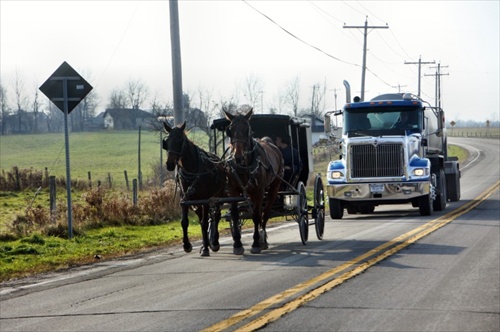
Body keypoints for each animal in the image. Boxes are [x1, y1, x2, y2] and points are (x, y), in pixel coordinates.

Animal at [163, 122, 226, 256]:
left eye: (180, 140)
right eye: (167, 141)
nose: (169, 164)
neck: (192, 170)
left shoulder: (205, 200)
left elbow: (204, 223)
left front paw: (207, 248)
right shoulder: (185, 199)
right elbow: (184, 222)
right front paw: (187, 245)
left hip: (218, 196)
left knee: (215, 216)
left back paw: (214, 242)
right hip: (196, 203)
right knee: (205, 217)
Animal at [224, 109, 284, 254]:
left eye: (247, 129)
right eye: (230, 130)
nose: (238, 156)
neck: (244, 166)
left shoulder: (259, 191)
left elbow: (257, 215)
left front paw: (256, 243)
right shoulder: (233, 191)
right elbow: (235, 215)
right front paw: (237, 244)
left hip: (274, 186)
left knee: (265, 212)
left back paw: (263, 238)